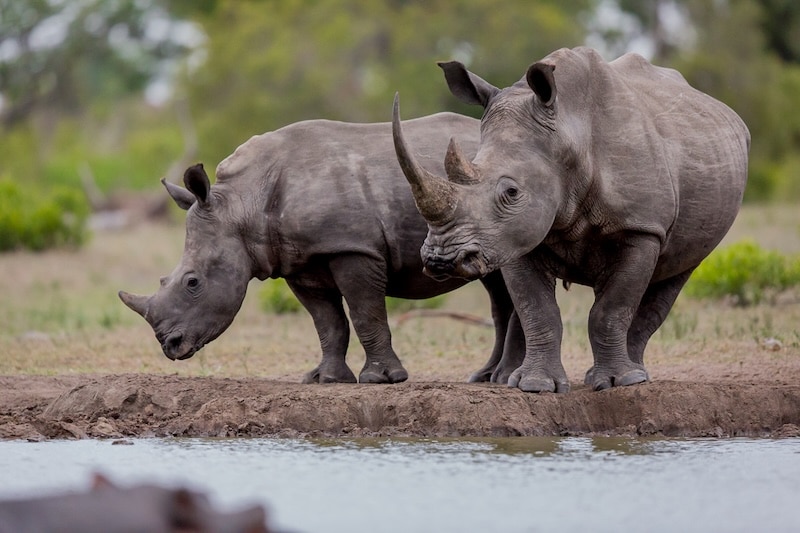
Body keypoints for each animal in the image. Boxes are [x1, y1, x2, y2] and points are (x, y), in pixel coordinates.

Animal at [119, 114, 523, 384]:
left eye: (192, 283)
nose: (170, 346)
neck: (243, 204)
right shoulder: (299, 261)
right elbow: (327, 322)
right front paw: (324, 379)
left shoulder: (353, 247)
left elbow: (364, 313)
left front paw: (381, 379)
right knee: (496, 286)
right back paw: (484, 377)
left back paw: (501, 378)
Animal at [393, 47, 750, 393]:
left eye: (511, 191)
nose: (441, 260)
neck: (568, 132)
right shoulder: (513, 235)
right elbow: (538, 310)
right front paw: (536, 385)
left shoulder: (641, 227)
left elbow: (612, 309)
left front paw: (619, 383)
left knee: (675, 274)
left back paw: (634, 376)